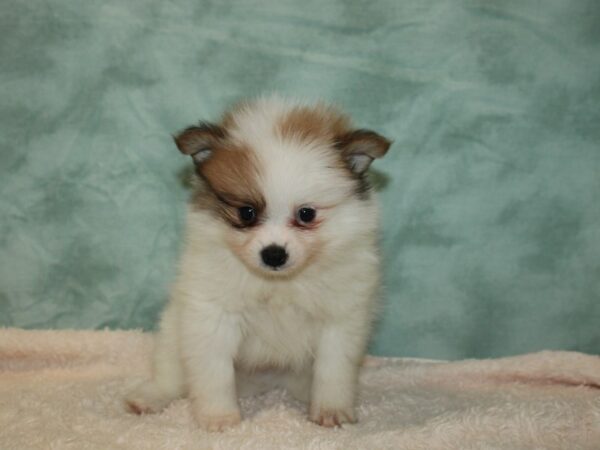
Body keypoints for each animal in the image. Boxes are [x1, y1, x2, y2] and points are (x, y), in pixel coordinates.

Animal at [124, 97, 392, 432]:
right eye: (246, 212)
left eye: (306, 214)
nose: (274, 254)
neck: (278, 285)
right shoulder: (213, 315)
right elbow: (214, 371)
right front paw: (219, 417)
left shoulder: (341, 318)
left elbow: (333, 370)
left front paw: (331, 411)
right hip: (173, 332)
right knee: (171, 375)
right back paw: (149, 397)